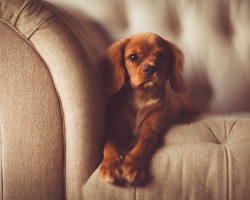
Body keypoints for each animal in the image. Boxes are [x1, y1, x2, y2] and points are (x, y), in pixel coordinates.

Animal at [98, 32, 193, 186]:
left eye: (162, 57)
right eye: (133, 57)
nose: (150, 69)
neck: (142, 96)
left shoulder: (151, 129)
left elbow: (143, 144)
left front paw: (132, 165)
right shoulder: (116, 129)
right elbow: (109, 144)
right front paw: (110, 165)